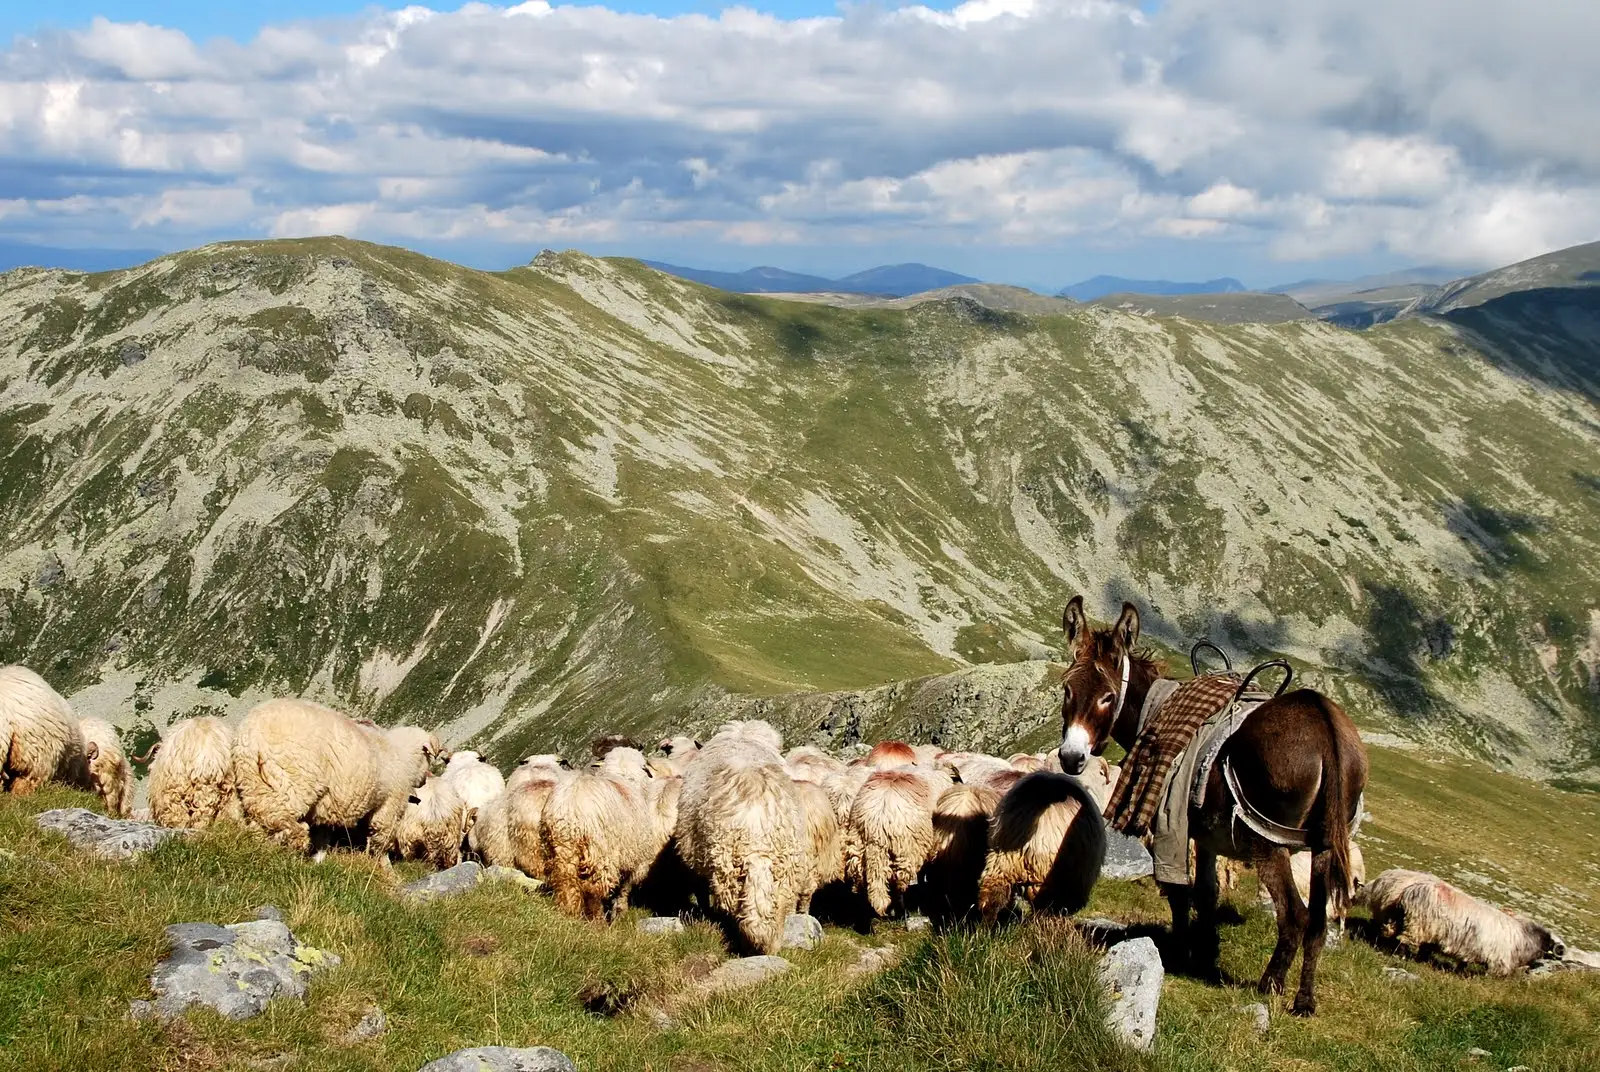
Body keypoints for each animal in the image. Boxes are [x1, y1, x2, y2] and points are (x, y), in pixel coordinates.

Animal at [1056, 595, 1367, 1016]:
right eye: (1067, 689)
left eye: (1107, 696)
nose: (1071, 759)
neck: (1158, 709)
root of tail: (1324, 724)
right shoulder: (1205, 838)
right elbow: (1206, 894)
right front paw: (1201, 951)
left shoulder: (1171, 824)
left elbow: (1178, 892)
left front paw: (1180, 951)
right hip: (1323, 845)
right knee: (1318, 922)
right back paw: (1304, 1000)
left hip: (1269, 843)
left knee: (1295, 916)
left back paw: (1271, 984)